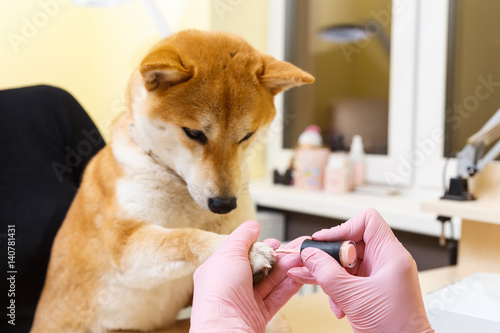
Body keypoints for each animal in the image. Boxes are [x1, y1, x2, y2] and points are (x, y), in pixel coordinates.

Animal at [31, 29, 312, 330]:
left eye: (247, 136)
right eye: (194, 133)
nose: (224, 204)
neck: (182, 190)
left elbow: (276, 321)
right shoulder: (125, 242)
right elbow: (184, 236)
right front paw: (245, 252)